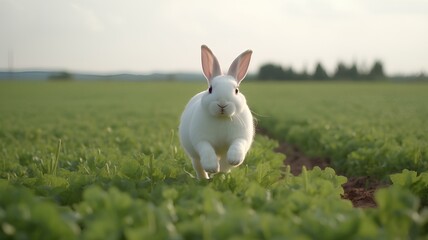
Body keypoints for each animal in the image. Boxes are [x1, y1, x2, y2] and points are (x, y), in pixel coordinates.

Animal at [178, 46, 254, 179]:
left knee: (224, 166)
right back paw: (205, 179)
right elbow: (206, 149)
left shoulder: (241, 137)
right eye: (210, 89)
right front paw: (211, 167)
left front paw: (235, 159)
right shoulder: (201, 140)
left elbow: (238, 144)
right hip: (194, 157)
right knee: (199, 167)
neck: (221, 118)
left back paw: (220, 176)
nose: (222, 104)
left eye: (236, 90)